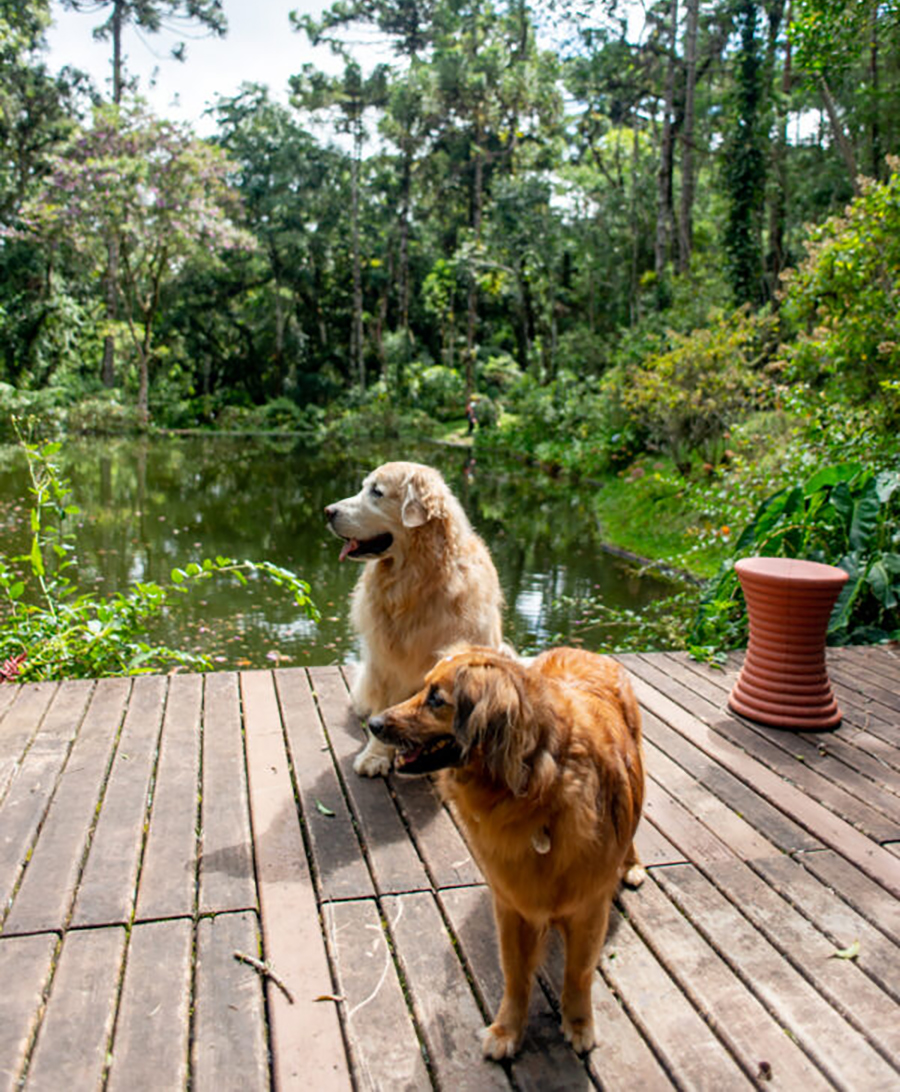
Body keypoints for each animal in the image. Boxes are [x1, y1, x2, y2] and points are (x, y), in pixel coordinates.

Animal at [325, 460, 506, 777]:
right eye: (363, 487)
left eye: (376, 492)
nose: (327, 511)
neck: (414, 581)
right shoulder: (384, 660)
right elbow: (382, 708)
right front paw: (376, 755)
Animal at [366, 646, 646, 1057]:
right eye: (423, 689)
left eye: (436, 699)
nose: (372, 723)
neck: (538, 783)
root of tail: (580, 649)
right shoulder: (512, 907)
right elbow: (515, 974)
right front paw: (507, 1029)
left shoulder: (589, 908)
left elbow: (578, 973)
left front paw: (579, 1024)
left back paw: (633, 865)